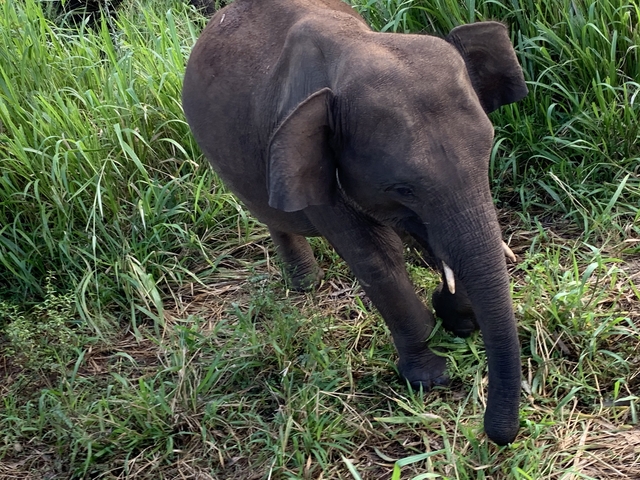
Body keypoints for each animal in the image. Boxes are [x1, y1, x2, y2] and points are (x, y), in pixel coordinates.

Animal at [182, 0, 528, 445]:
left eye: (487, 155)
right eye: (403, 188)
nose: (494, 436)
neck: (358, 47)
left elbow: (434, 241)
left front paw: (459, 320)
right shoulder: (311, 159)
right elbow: (376, 258)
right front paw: (431, 376)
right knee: (272, 215)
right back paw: (305, 285)